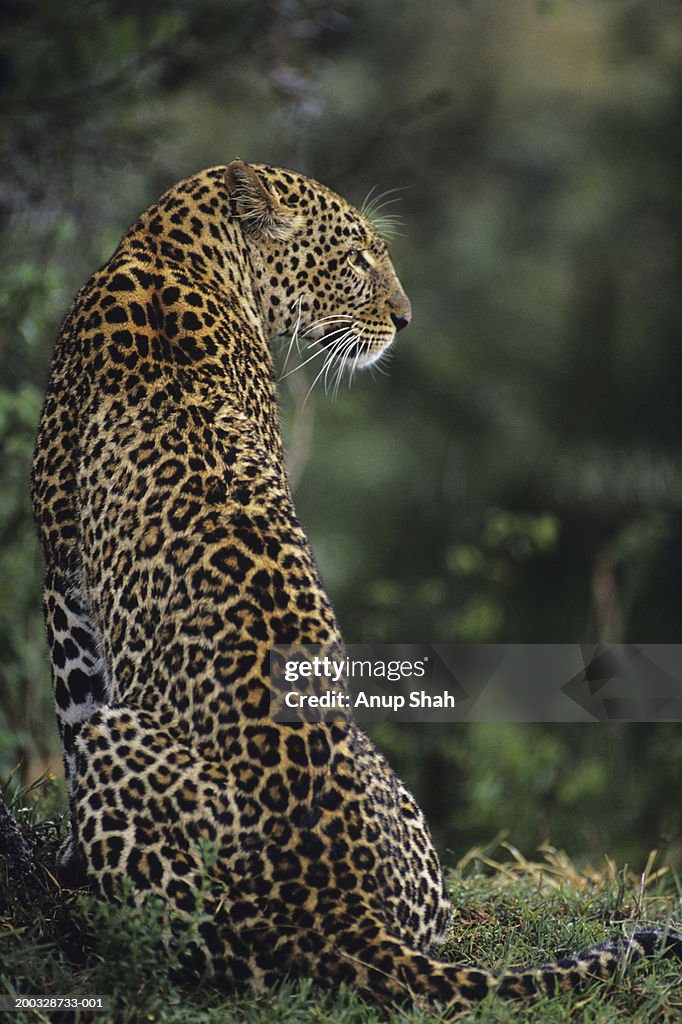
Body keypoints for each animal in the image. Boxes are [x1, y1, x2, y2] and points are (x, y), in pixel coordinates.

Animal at [31, 159, 679, 1015]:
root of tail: (343, 911)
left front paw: (68, 855)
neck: (172, 252)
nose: (406, 320)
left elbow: (71, 706)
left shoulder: (62, 571)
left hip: (132, 758)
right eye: (358, 259)